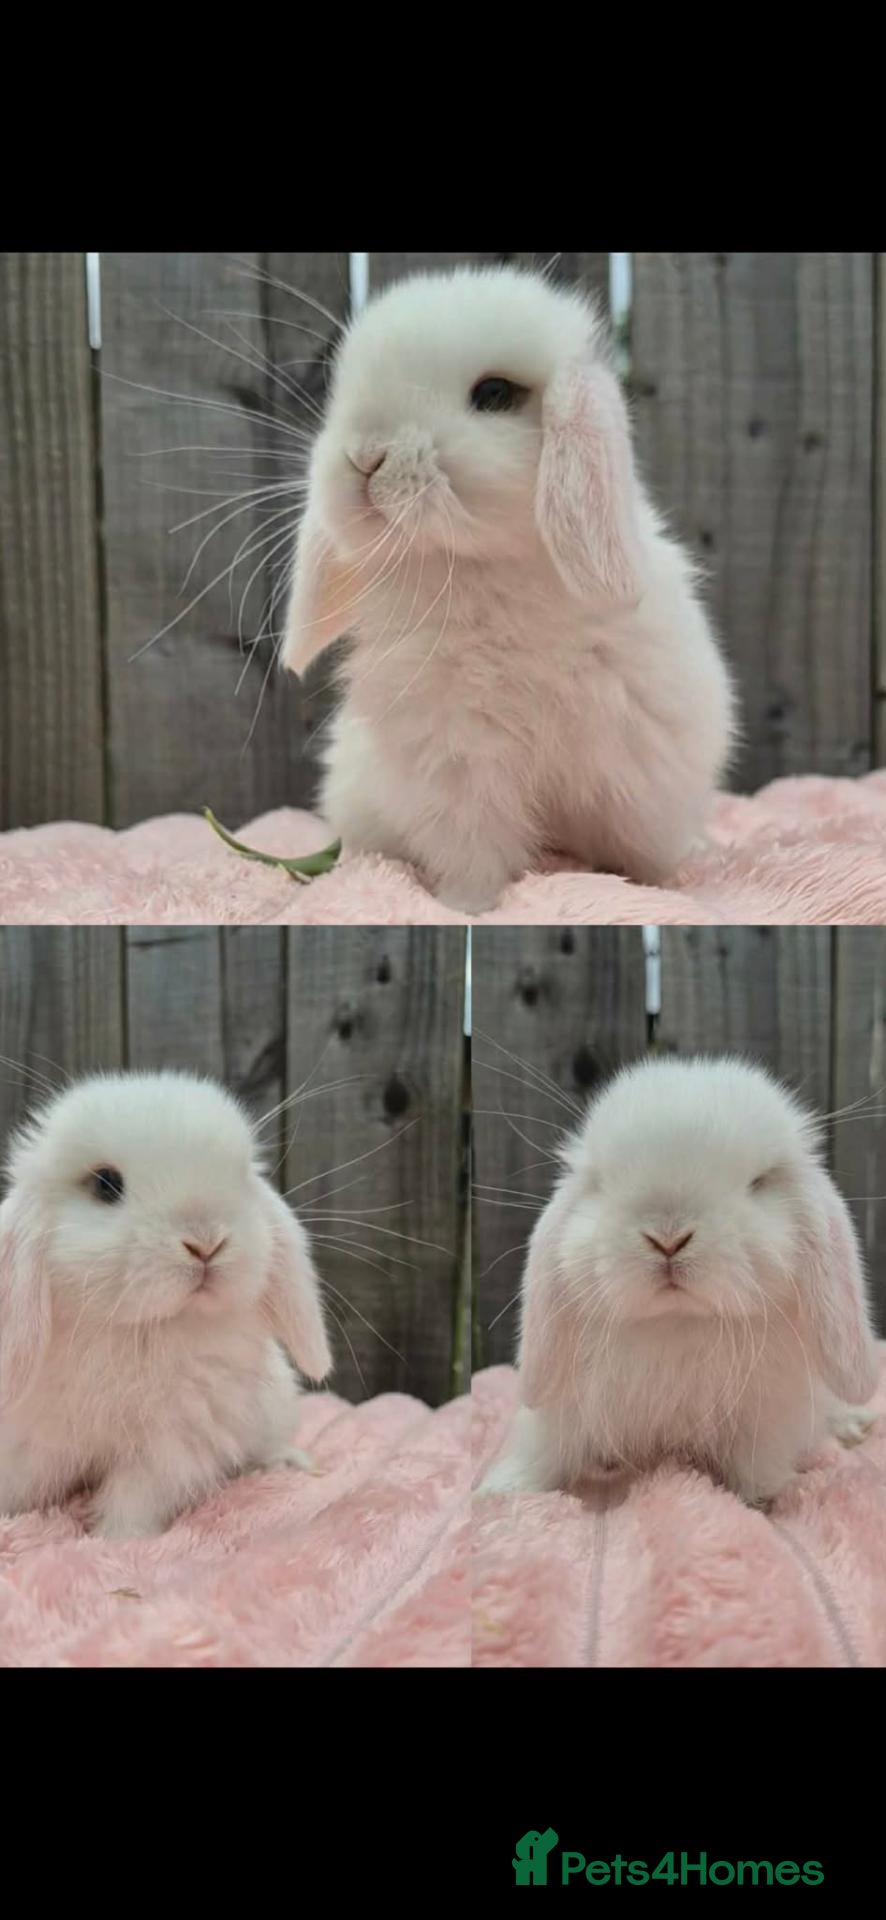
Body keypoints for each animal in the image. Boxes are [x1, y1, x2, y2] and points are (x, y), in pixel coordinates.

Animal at [0, 1071, 333, 1539]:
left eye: (241, 1177)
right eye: (105, 1184)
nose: (206, 1242)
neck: (139, 1330)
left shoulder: (169, 1446)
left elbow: (135, 1498)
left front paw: (116, 1540)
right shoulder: (30, 1440)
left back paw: (285, 1463)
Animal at [282, 265, 737, 913]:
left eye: (495, 394)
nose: (365, 457)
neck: (483, 569)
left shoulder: (639, 778)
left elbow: (638, 857)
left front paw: (662, 891)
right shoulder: (458, 764)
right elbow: (474, 849)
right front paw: (465, 906)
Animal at [476, 1056, 880, 1508]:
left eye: (758, 1182)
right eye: (601, 1183)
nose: (667, 1238)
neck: (676, 1324)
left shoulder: (765, 1426)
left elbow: (756, 1471)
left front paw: (761, 1503)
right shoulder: (557, 1414)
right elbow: (540, 1455)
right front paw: (498, 1493)